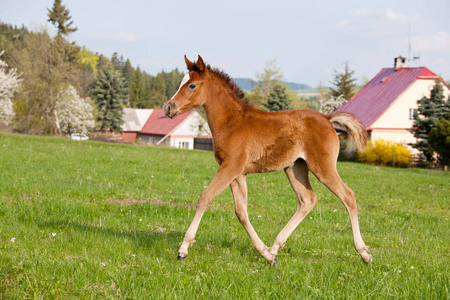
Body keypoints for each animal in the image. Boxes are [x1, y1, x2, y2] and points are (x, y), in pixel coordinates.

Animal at [163, 55, 370, 264]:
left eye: (192, 85)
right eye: (181, 83)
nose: (168, 107)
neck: (232, 122)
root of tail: (328, 119)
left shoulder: (230, 167)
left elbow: (205, 198)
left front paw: (183, 249)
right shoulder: (238, 174)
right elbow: (241, 211)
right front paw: (266, 254)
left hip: (323, 167)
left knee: (348, 196)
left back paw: (364, 253)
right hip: (295, 168)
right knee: (307, 199)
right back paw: (275, 247)